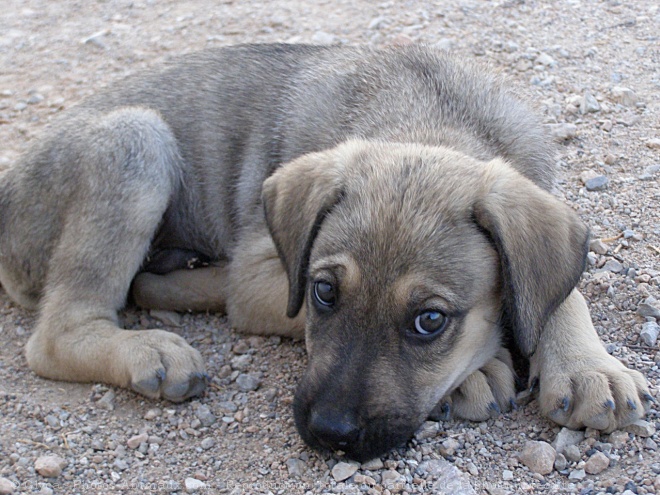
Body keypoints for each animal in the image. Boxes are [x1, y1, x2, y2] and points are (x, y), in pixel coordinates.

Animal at [0, 43, 648, 462]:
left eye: (429, 321)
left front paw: (589, 366)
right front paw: (483, 368)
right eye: (324, 292)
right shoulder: (261, 274)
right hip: (134, 140)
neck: (429, 117)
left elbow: (559, 290)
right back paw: (146, 347)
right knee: (56, 336)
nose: (328, 433)